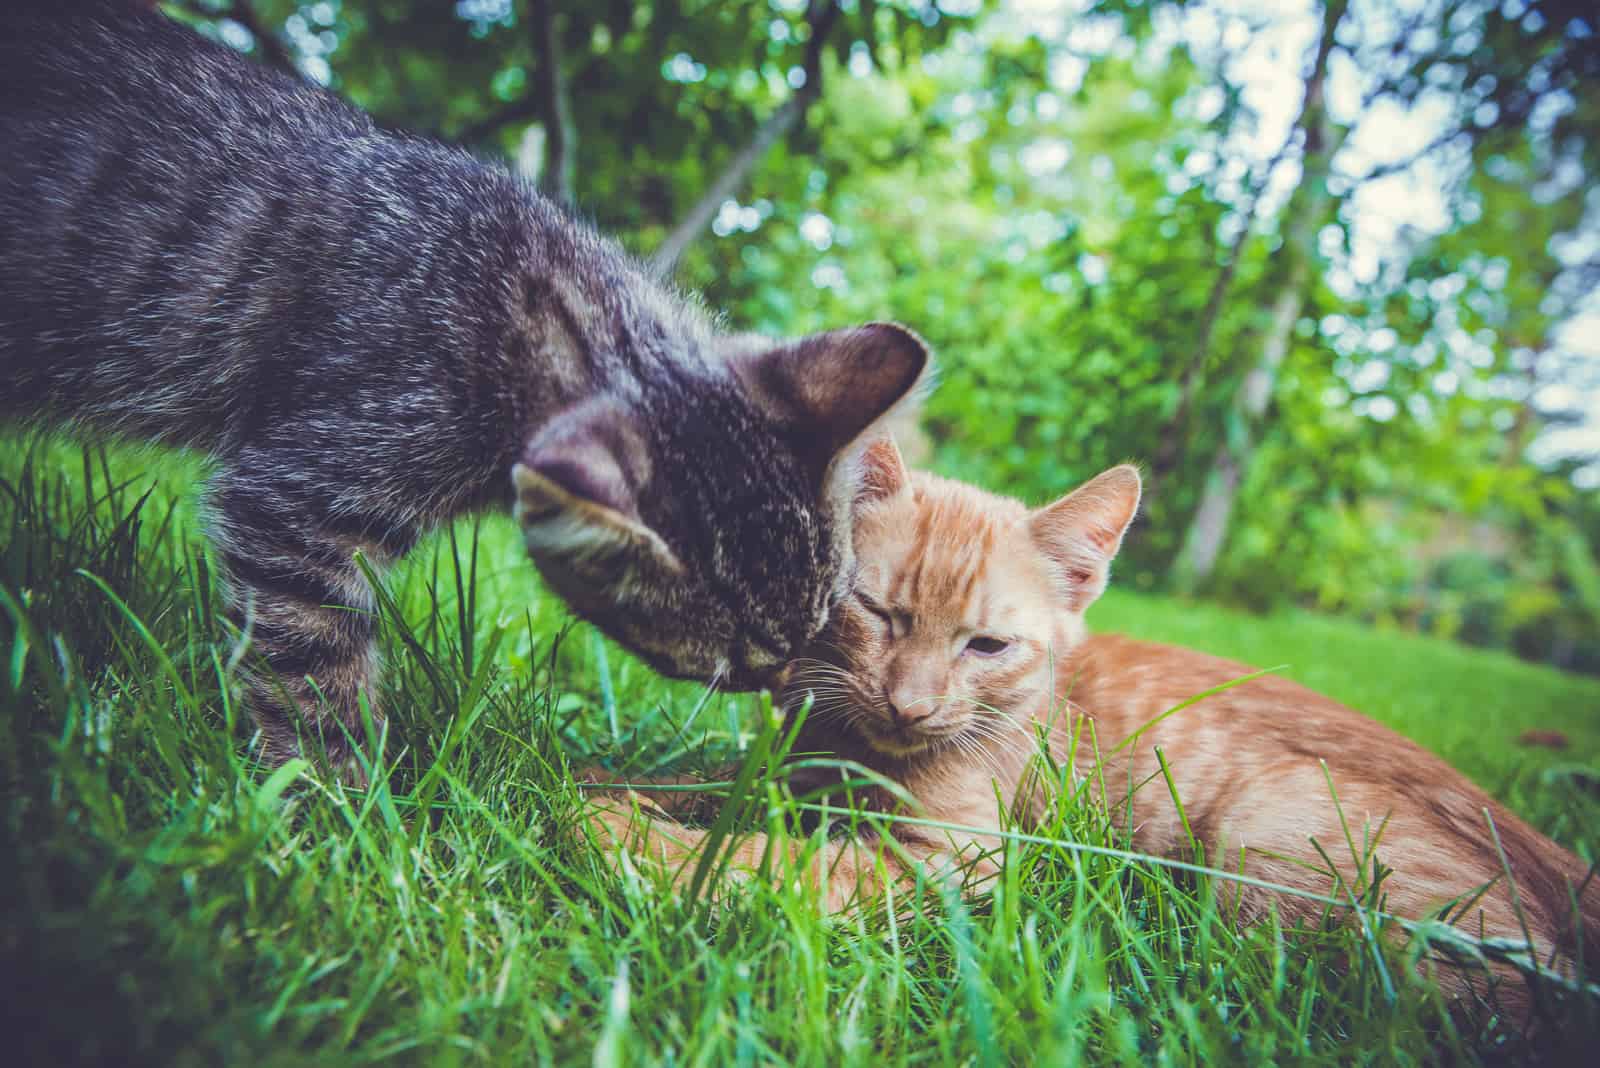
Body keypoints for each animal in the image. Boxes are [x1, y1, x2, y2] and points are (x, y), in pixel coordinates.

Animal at [0, 0, 934, 770]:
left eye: (827, 617)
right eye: (729, 664)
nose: (786, 692)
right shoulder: (298, 496)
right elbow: (311, 672)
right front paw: (339, 806)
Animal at [592, 441, 1600, 1016]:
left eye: (987, 645)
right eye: (875, 612)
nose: (910, 706)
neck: (856, 749)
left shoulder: (951, 862)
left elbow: (779, 861)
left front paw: (614, 832)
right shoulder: (790, 772)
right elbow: (717, 792)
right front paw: (596, 779)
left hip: (1272, 838)